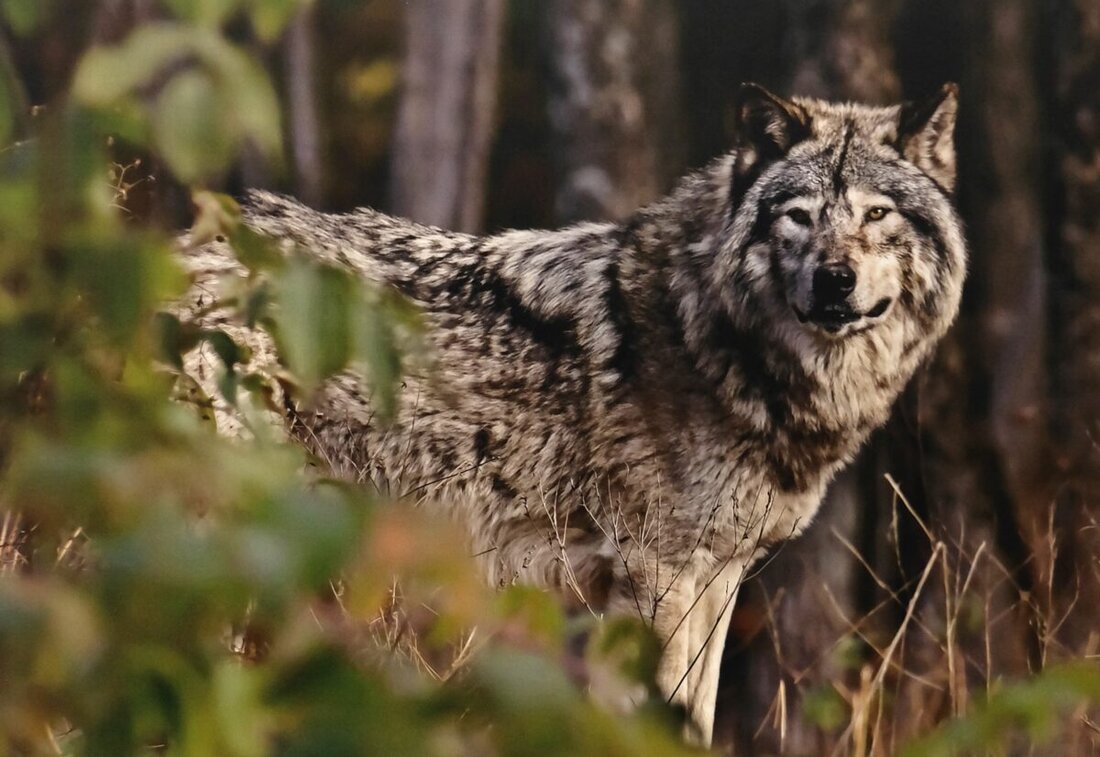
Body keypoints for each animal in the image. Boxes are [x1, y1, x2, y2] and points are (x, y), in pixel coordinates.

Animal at [179, 83, 965, 745]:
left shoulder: (718, 578)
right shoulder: (657, 576)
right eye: (798, 217)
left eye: (876, 213)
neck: (707, 334)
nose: (835, 279)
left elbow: (701, 717)